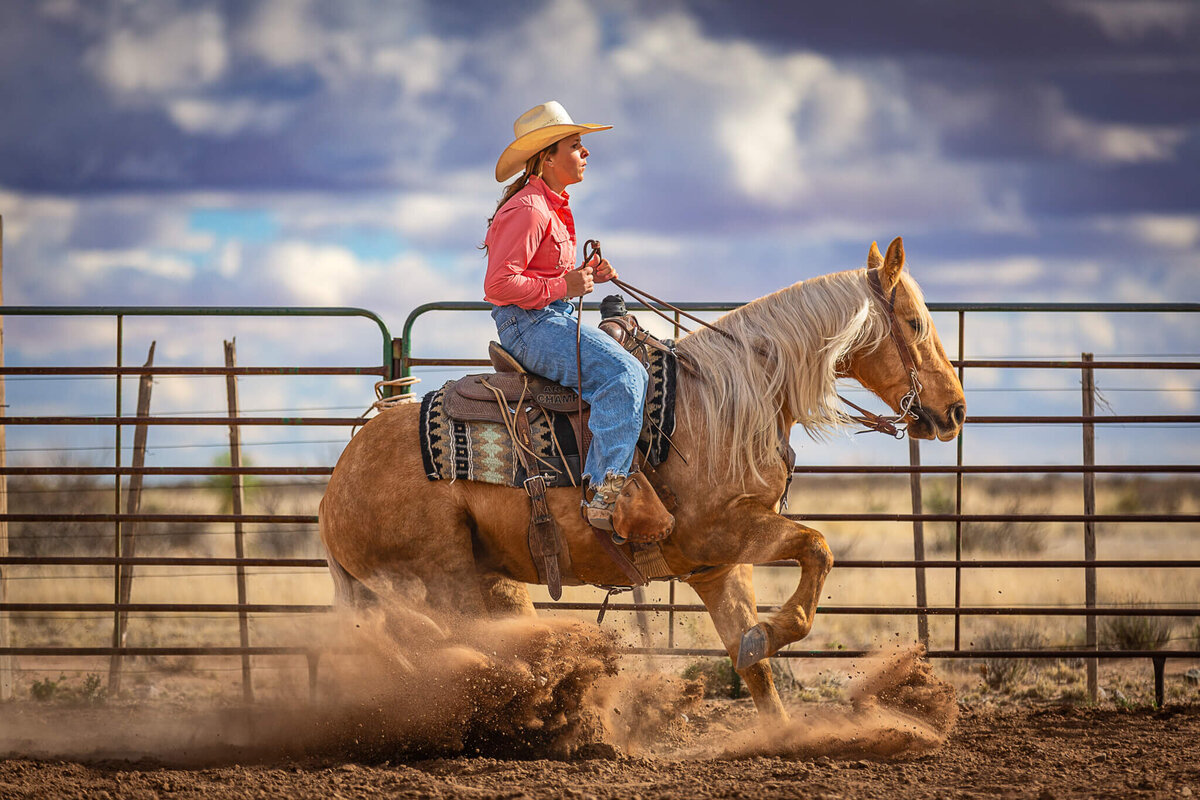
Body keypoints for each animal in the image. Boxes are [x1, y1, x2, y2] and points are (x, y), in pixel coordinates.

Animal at [319, 237, 964, 719]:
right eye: (914, 322)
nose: (955, 410)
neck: (729, 401)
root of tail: (334, 489)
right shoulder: (718, 533)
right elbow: (818, 548)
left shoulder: (717, 565)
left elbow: (752, 662)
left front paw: (783, 727)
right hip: (441, 583)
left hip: (491, 582)